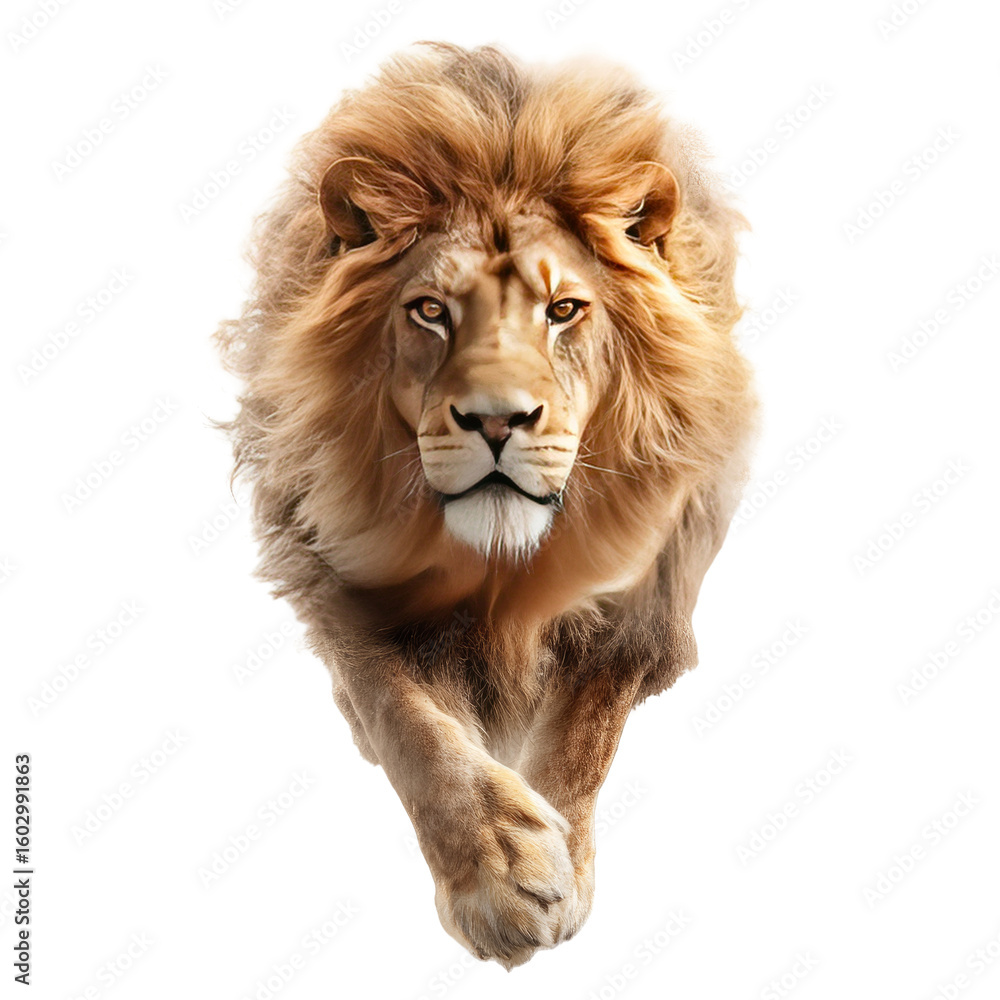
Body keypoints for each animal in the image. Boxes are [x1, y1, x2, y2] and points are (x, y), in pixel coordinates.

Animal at [216, 42, 757, 968]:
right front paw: (500, 871)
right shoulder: (338, 582)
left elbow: (584, 728)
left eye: (564, 309)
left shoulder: (650, 594)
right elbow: (410, 723)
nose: (498, 421)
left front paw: (557, 858)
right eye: (430, 310)